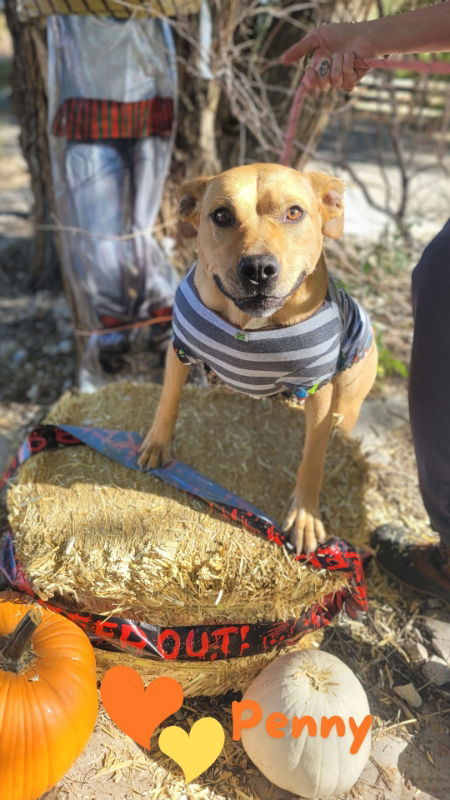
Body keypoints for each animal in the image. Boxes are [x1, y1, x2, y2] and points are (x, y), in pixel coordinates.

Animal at [138, 166, 376, 552]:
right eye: (221, 215)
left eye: (294, 212)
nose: (259, 268)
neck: (251, 326)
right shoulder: (180, 349)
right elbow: (168, 401)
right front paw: (157, 444)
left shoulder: (318, 390)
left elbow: (314, 457)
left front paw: (305, 517)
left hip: (347, 403)